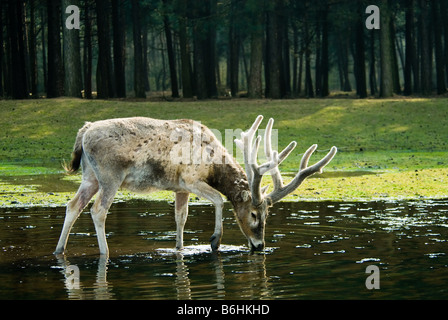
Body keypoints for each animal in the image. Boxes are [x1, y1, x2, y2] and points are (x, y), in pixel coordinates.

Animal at [53, 116, 336, 256]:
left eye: (267, 215)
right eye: (255, 214)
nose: (260, 246)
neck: (213, 164)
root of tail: (84, 131)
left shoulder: (180, 187)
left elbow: (181, 217)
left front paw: (179, 248)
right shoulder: (191, 178)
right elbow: (220, 199)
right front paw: (215, 241)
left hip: (89, 176)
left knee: (73, 205)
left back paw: (59, 249)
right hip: (110, 175)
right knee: (97, 210)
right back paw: (105, 252)